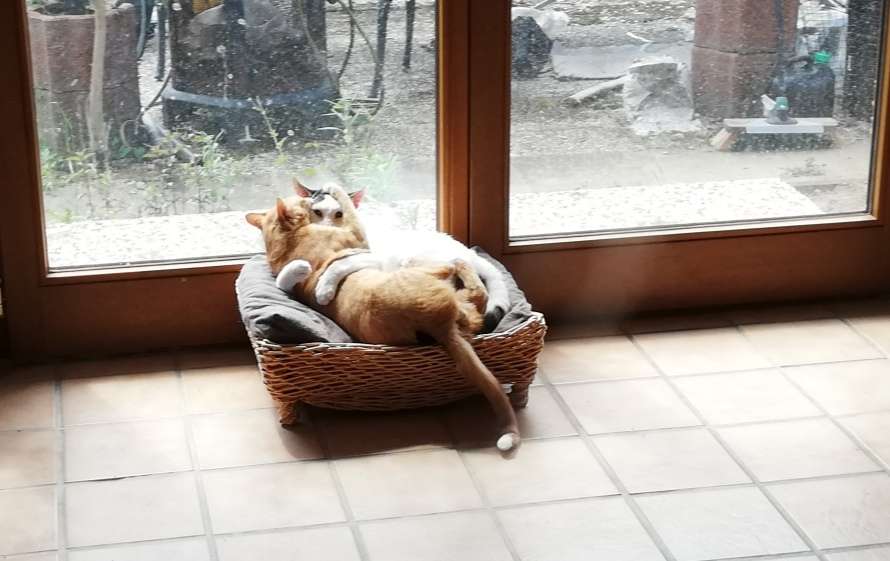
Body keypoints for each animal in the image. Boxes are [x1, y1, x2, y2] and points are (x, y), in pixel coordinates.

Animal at [292, 180, 510, 331]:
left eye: (339, 214)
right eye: (317, 212)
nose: (328, 229)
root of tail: (470, 252)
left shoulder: (374, 257)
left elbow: (339, 264)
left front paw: (324, 288)